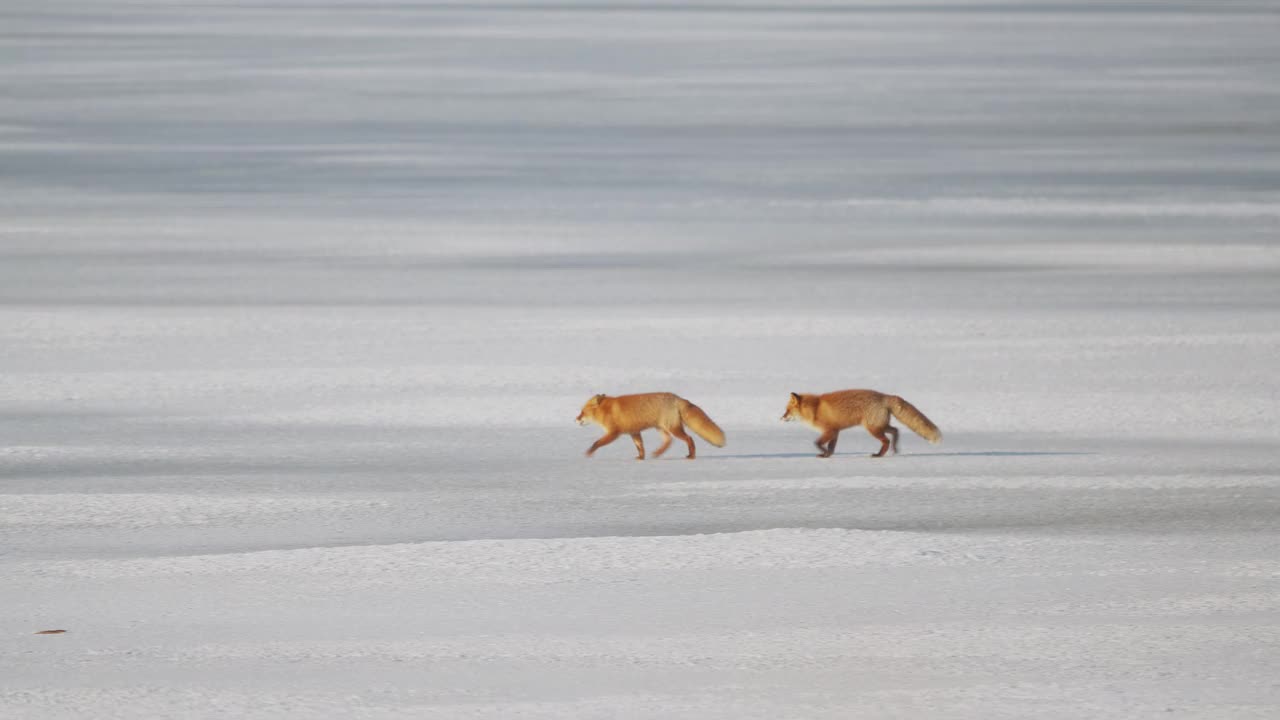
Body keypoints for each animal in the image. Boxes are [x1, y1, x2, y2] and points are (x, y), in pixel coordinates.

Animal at [578, 389, 727, 456]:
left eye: (582, 412)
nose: (576, 419)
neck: (605, 410)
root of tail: (677, 397)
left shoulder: (614, 433)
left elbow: (596, 443)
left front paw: (588, 454)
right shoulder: (634, 432)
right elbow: (640, 448)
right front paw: (640, 459)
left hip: (673, 428)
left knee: (689, 438)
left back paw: (691, 455)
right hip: (662, 428)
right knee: (669, 441)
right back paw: (657, 453)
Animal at [778, 389, 942, 456]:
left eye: (787, 410)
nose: (781, 418)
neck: (815, 408)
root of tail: (885, 396)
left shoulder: (829, 430)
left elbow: (817, 443)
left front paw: (823, 453)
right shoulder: (836, 431)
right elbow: (831, 447)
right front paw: (827, 455)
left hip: (873, 429)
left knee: (886, 440)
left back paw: (879, 455)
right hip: (879, 426)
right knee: (896, 430)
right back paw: (895, 449)